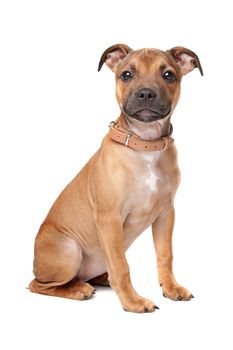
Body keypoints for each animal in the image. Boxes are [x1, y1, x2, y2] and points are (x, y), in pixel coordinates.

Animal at [29, 43, 203, 312]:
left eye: (168, 75)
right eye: (126, 75)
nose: (146, 94)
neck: (145, 145)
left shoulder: (165, 215)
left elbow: (165, 255)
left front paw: (171, 288)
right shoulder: (110, 218)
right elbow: (121, 265)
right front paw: (133, 301)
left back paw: (100, 278)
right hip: (69, 250)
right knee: (39, 285)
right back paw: (78, 289)